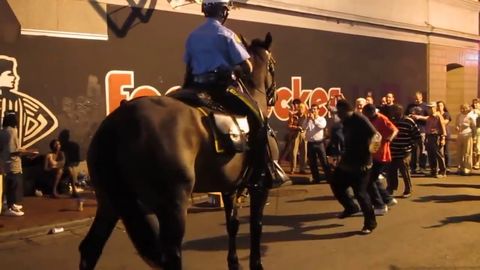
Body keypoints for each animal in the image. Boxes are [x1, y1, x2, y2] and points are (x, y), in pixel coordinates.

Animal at [80, 33, 280, 270]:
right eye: (273, 65)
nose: (273, 97)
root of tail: (118, 124)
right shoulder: (259, 186)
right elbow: (256, 225)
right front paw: (256, 264)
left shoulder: (229, 187)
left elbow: (233, 224)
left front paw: (234, 263)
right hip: (173, 204)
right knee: (172, 255)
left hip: (110, 201)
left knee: (91, 248)